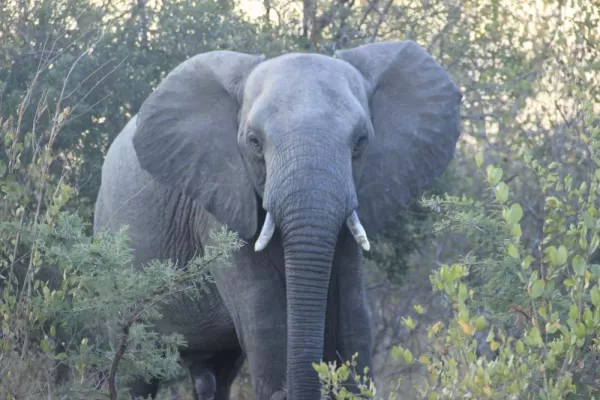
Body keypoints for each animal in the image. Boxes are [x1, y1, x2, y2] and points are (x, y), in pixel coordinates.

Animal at [94, 38, 462, 400]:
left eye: (360, 142)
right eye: (255, 143)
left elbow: (353, 306)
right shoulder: (217, 199)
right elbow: (262, 309)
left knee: (215, 373)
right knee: (136, 367)